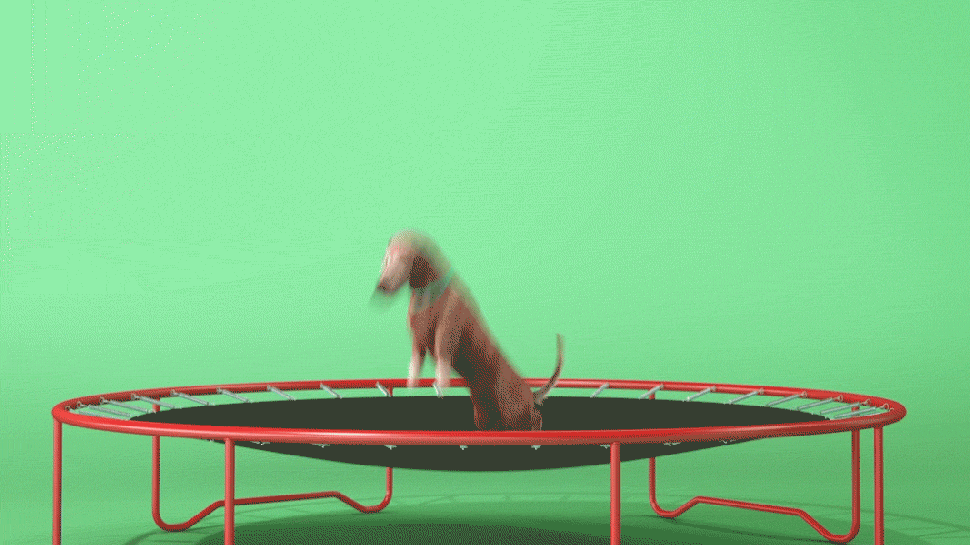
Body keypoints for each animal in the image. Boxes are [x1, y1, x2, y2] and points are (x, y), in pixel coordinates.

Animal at [374, 230, 563, 431]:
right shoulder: (418, 336)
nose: (381, 286)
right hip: (485, 417)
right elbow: (415, 361)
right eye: (386, 258)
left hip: (513, 410)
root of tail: (529, 391)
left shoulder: (449, 326)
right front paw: (412, 384)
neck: (428, 294)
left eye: (404, 258)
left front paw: (441, 383)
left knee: (535, 416)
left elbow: (442, 351)